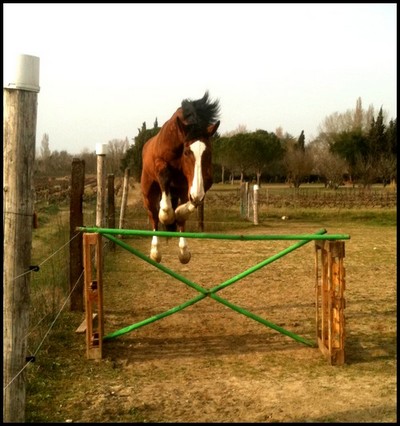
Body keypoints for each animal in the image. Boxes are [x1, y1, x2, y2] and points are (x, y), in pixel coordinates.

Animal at [141, 91, 220, 262]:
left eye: (209, 152)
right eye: (186, 152)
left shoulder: (197, 182)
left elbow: (192, 203)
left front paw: (178, 213)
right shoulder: (161, 164)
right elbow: (165, 179)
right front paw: (167, 215)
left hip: (181, 189)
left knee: (181, 219)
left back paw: (184, 252)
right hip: (148, 192)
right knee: (153, 217)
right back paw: (155, 251)